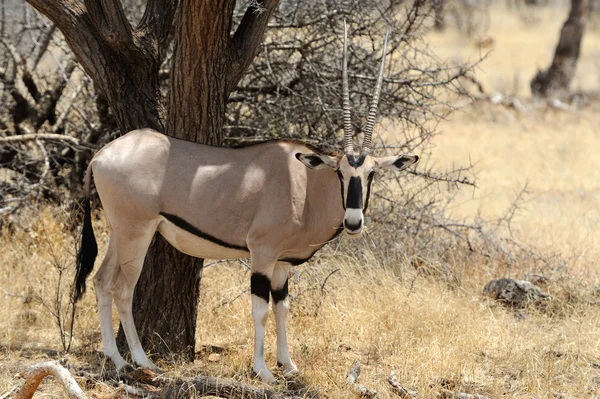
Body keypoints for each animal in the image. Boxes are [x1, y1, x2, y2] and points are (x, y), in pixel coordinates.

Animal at [74, 22, 418, 384]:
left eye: (371, 173)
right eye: (340, 172)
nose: (353, 221)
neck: (305, 185)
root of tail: (101, 155)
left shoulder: (283, 261)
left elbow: (283, 307)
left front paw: (288, 364)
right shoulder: (262, 253)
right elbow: (261, 309)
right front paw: (263, 370)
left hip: (119, 231)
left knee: (101, 281)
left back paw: (115, 358)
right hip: (137, 232)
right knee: (122, 288)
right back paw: (141, 362)